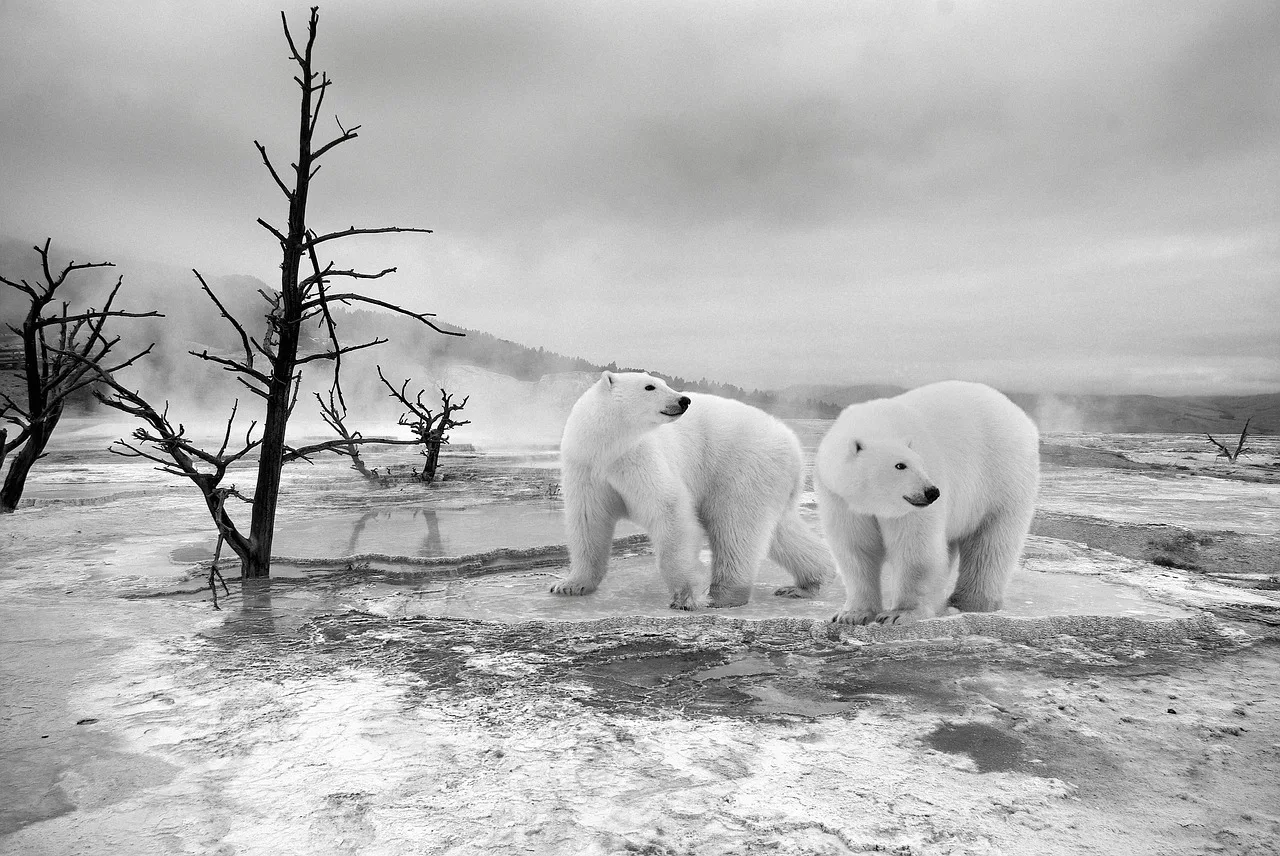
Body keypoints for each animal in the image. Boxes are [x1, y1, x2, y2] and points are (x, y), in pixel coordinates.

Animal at [547, 371, 829, 606]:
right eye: (650, 386)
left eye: (663, 382)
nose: (684, 400)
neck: (606, 448)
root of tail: (794, 446)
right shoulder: (585, 468)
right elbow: (588, 521)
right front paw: (569, 585)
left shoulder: (639, 458)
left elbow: (669, 509)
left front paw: (686, 596)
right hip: (768, 478)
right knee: (780, 531)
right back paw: (807, 583)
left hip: (742, 466)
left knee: (735, 526)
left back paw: (724, 594)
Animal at [819, 383, 1039, 624]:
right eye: (900, 465)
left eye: (920, 463)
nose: (932, 492)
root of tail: (1019, 415)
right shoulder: (840, 499)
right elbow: (856, 549)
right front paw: (851, 615)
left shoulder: (912, 507)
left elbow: (915, 549)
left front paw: (899, 613)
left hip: (1002, 478)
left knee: (991, 543)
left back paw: (970, 602)